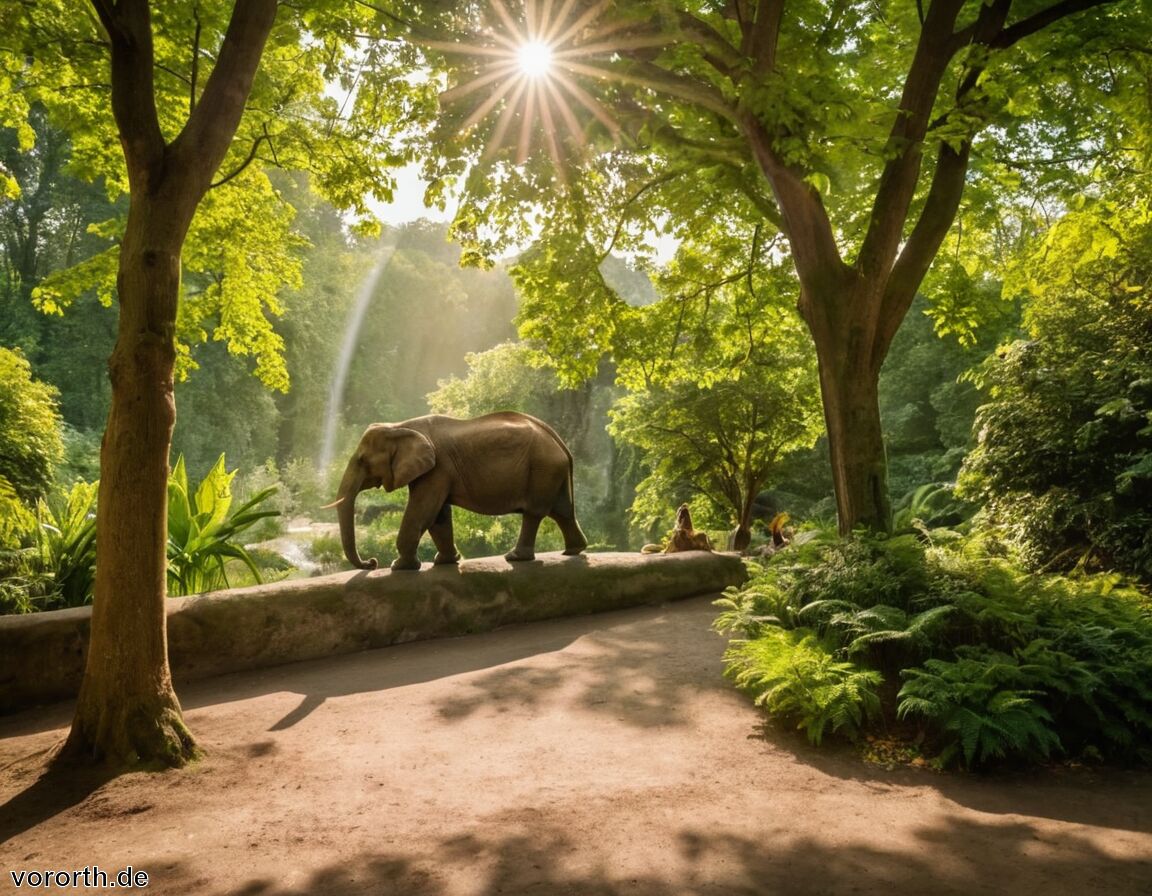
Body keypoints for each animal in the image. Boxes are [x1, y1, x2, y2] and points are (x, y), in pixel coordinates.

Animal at [329, 407, 589, 568]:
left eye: (362, 460)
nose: (372, 563)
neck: (400, 426)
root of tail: (560, 442)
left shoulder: (437, 469)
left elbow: (423, 512)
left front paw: (399, 567)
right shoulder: (437, 471)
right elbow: (438, 517)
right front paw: (445, 561)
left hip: (543, 468)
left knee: (535, 513)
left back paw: (516, 557)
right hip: (551, 471)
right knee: (563, 511)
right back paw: (573, 551)